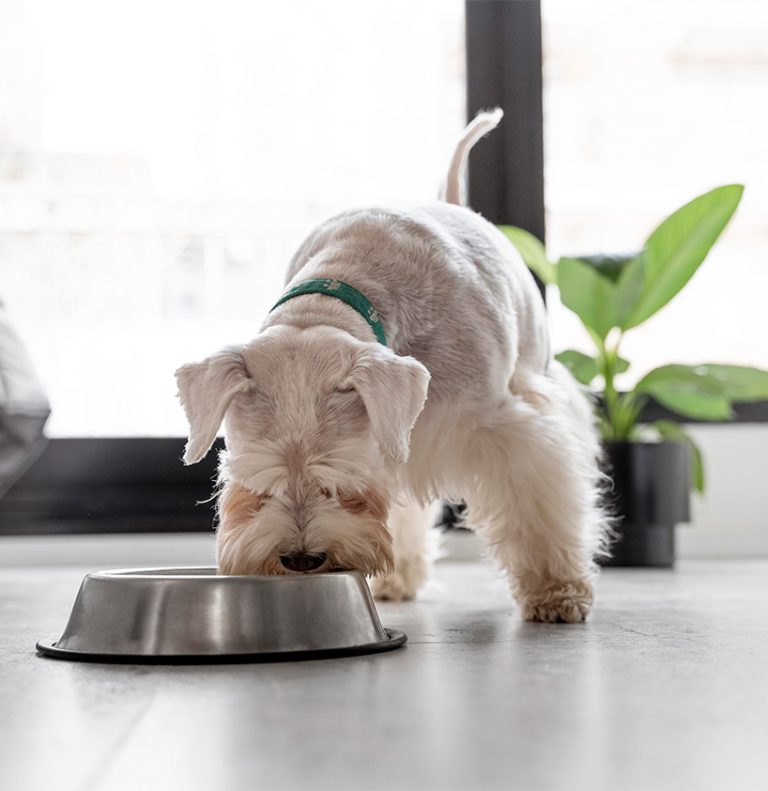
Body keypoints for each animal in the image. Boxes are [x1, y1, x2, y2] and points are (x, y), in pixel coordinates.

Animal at [177, 108, 608, 620]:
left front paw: (555, 591)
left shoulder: (505, 428)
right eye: (257, 482)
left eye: (341, 479)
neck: (339, 291)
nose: (300, 559)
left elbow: (534, 504)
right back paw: (397, 578)